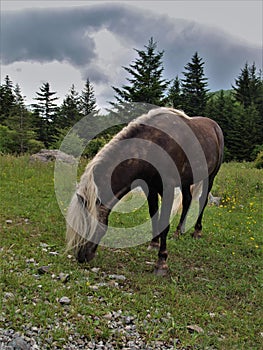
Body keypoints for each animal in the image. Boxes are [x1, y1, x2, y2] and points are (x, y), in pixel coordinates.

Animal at [66, 107, 225, 276]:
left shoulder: (168, 188)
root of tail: (215, 126)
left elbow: (164, 222)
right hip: (186, 180)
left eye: (87, 225)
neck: (152, 148)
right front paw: (154, 243)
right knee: (187, 200)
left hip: (210, 176)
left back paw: (197, 232)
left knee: (202, 201)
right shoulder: (150, 187)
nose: (81, 257)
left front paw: (161, 263)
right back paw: (178, 232)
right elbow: (153, 212)